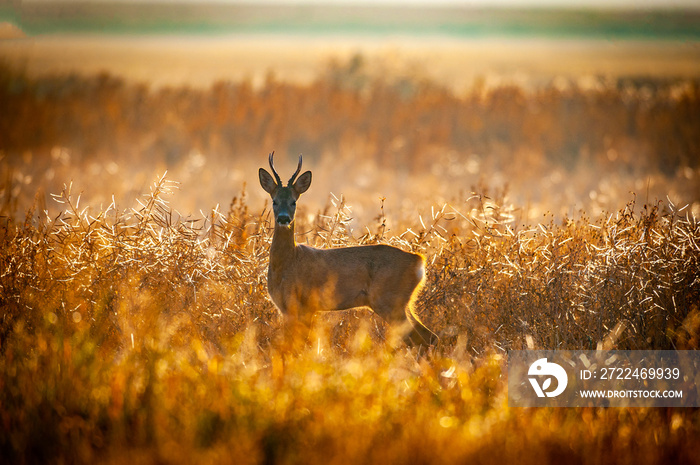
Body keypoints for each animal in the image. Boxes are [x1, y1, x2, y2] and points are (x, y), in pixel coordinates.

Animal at [258, 152, 438, 348]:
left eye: (293, 202)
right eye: (274, 201)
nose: (283, 218)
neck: (288, 262)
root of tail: (418, 260)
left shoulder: (305, 304)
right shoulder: (288, 309)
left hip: (388, 300)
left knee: (419, 337)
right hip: (403, 302)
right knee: (427, 335)